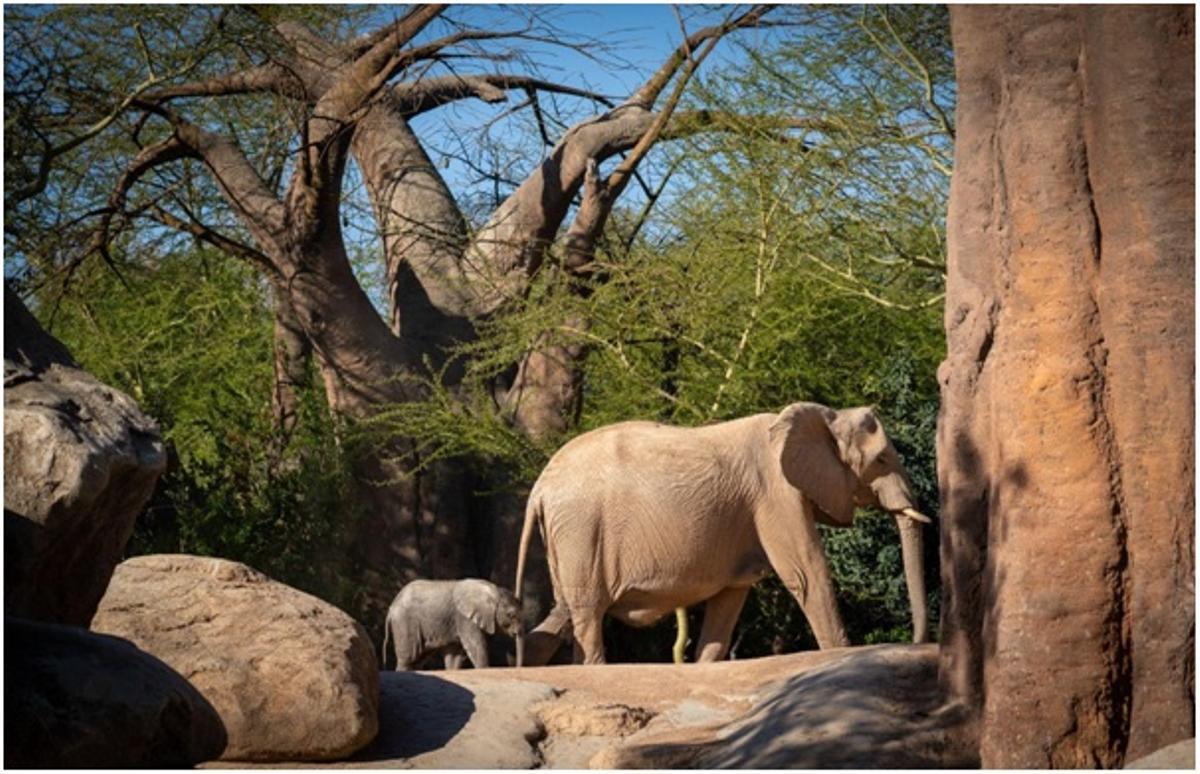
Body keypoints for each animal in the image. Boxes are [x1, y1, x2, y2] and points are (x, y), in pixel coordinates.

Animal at [381, 579, 524, 670]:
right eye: (511, 615)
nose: (516, 632)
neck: (493, 591)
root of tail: (391, 608)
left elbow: (455, 655)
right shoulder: (464, 618)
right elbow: (476, 645)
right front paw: (484, 669)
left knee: (417, 660)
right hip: (405, 623)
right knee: (409, 656)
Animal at [514, 401, 932, 665]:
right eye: (882, 459)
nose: (914, 641)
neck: (824, 415)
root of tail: (540, 487)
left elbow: (731, 596)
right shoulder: (776, 493)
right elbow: (806, 574)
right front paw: (839, 655)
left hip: (570, 537)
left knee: (563, 613)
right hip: (581, 529)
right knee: (585, 613)